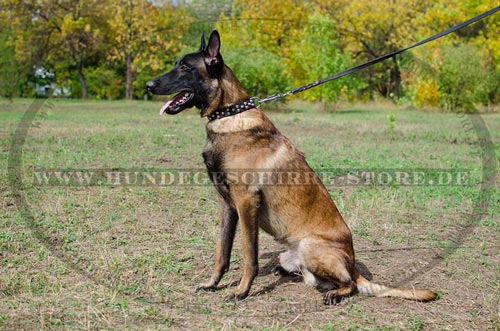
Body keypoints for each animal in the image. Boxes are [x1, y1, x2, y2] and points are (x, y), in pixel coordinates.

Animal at [146, 31, 438, 306]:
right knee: (312, 277)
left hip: (311, 245)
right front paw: (212, 284)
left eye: (185, 67)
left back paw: (335, 293)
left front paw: (241, 291)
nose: (148, 85)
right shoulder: (227, 205)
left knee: (350, 285)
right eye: (177, 64)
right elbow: (222, 253)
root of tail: (354, 264)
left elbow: (248, 255)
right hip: (287, 256)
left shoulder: (246, 202)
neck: (230, 115)